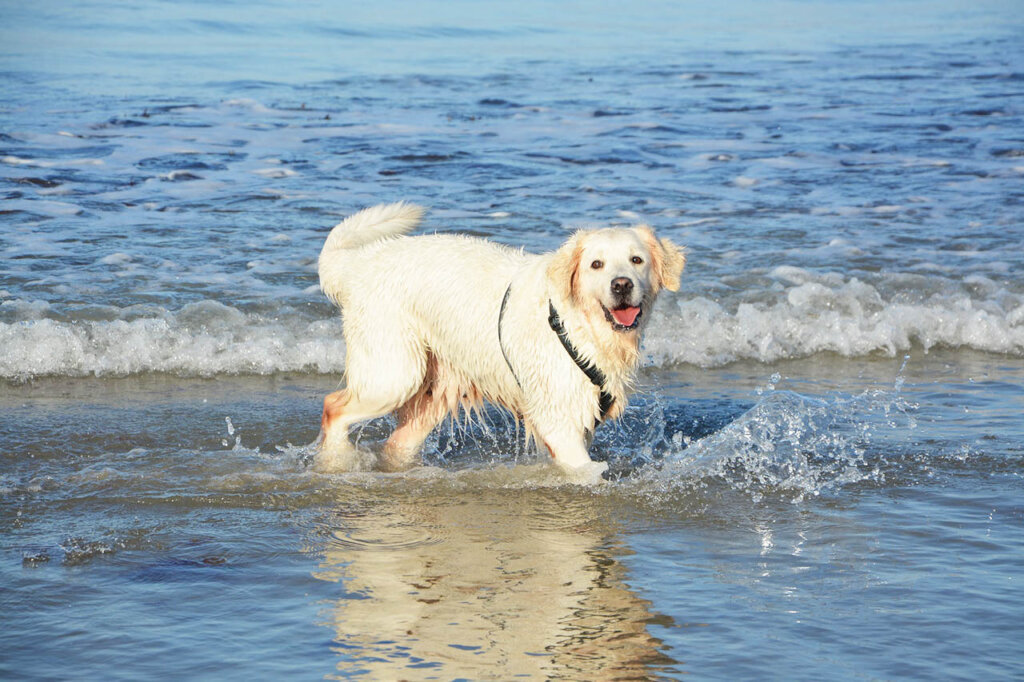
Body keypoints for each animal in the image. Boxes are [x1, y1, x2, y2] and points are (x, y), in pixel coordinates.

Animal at [315, 201, 684, 477]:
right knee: (333, 406)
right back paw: (336, 461)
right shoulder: (558, 417)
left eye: (636, 259)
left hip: (435, 389)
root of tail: (358, 264)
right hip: (395, 373)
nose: (621, 284)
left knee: (396, 442)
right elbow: (584, 470)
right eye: (596, 264)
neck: (579, 325)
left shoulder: (582, 416)